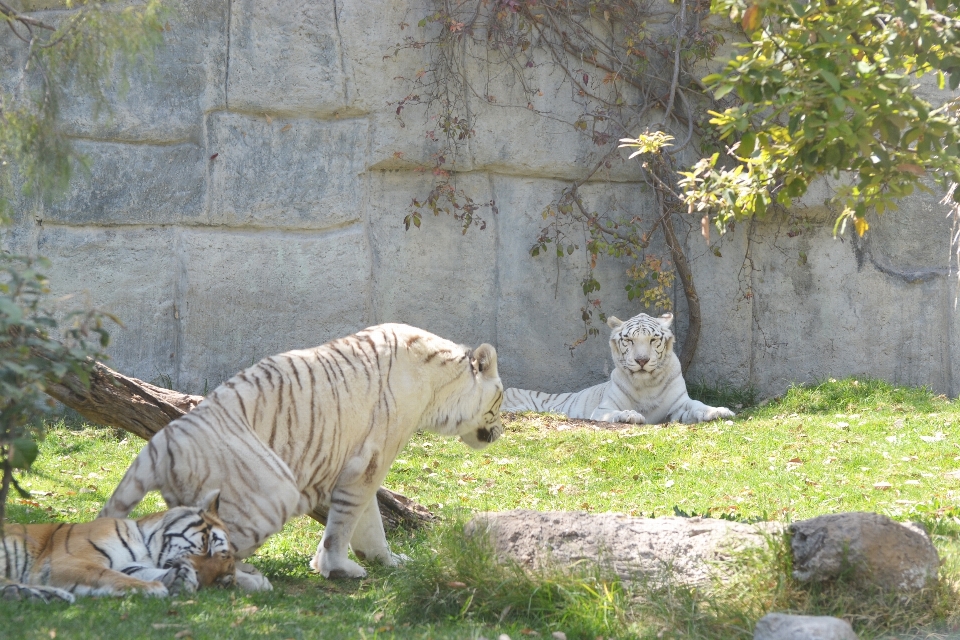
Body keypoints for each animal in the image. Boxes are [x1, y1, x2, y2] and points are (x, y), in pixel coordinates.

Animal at [101, 324, 506, 592]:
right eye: (501, 399)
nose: (500, 431)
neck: (440, 384)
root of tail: (164, 442)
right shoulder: (368, 461)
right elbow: (346, 522)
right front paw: (338, 568)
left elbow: (368, 521)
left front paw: (386, 561)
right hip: (273, 491)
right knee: (207, 558)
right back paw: (252, 580)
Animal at [502, 312, 736, 424]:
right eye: (629, 340)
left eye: (652, 340)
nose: (642, 360)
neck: (647, 384)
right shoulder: (603, 409)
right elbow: (616, 412)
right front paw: (631, 415)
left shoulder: (679, 406)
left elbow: (698, 405)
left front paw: (718, 411)